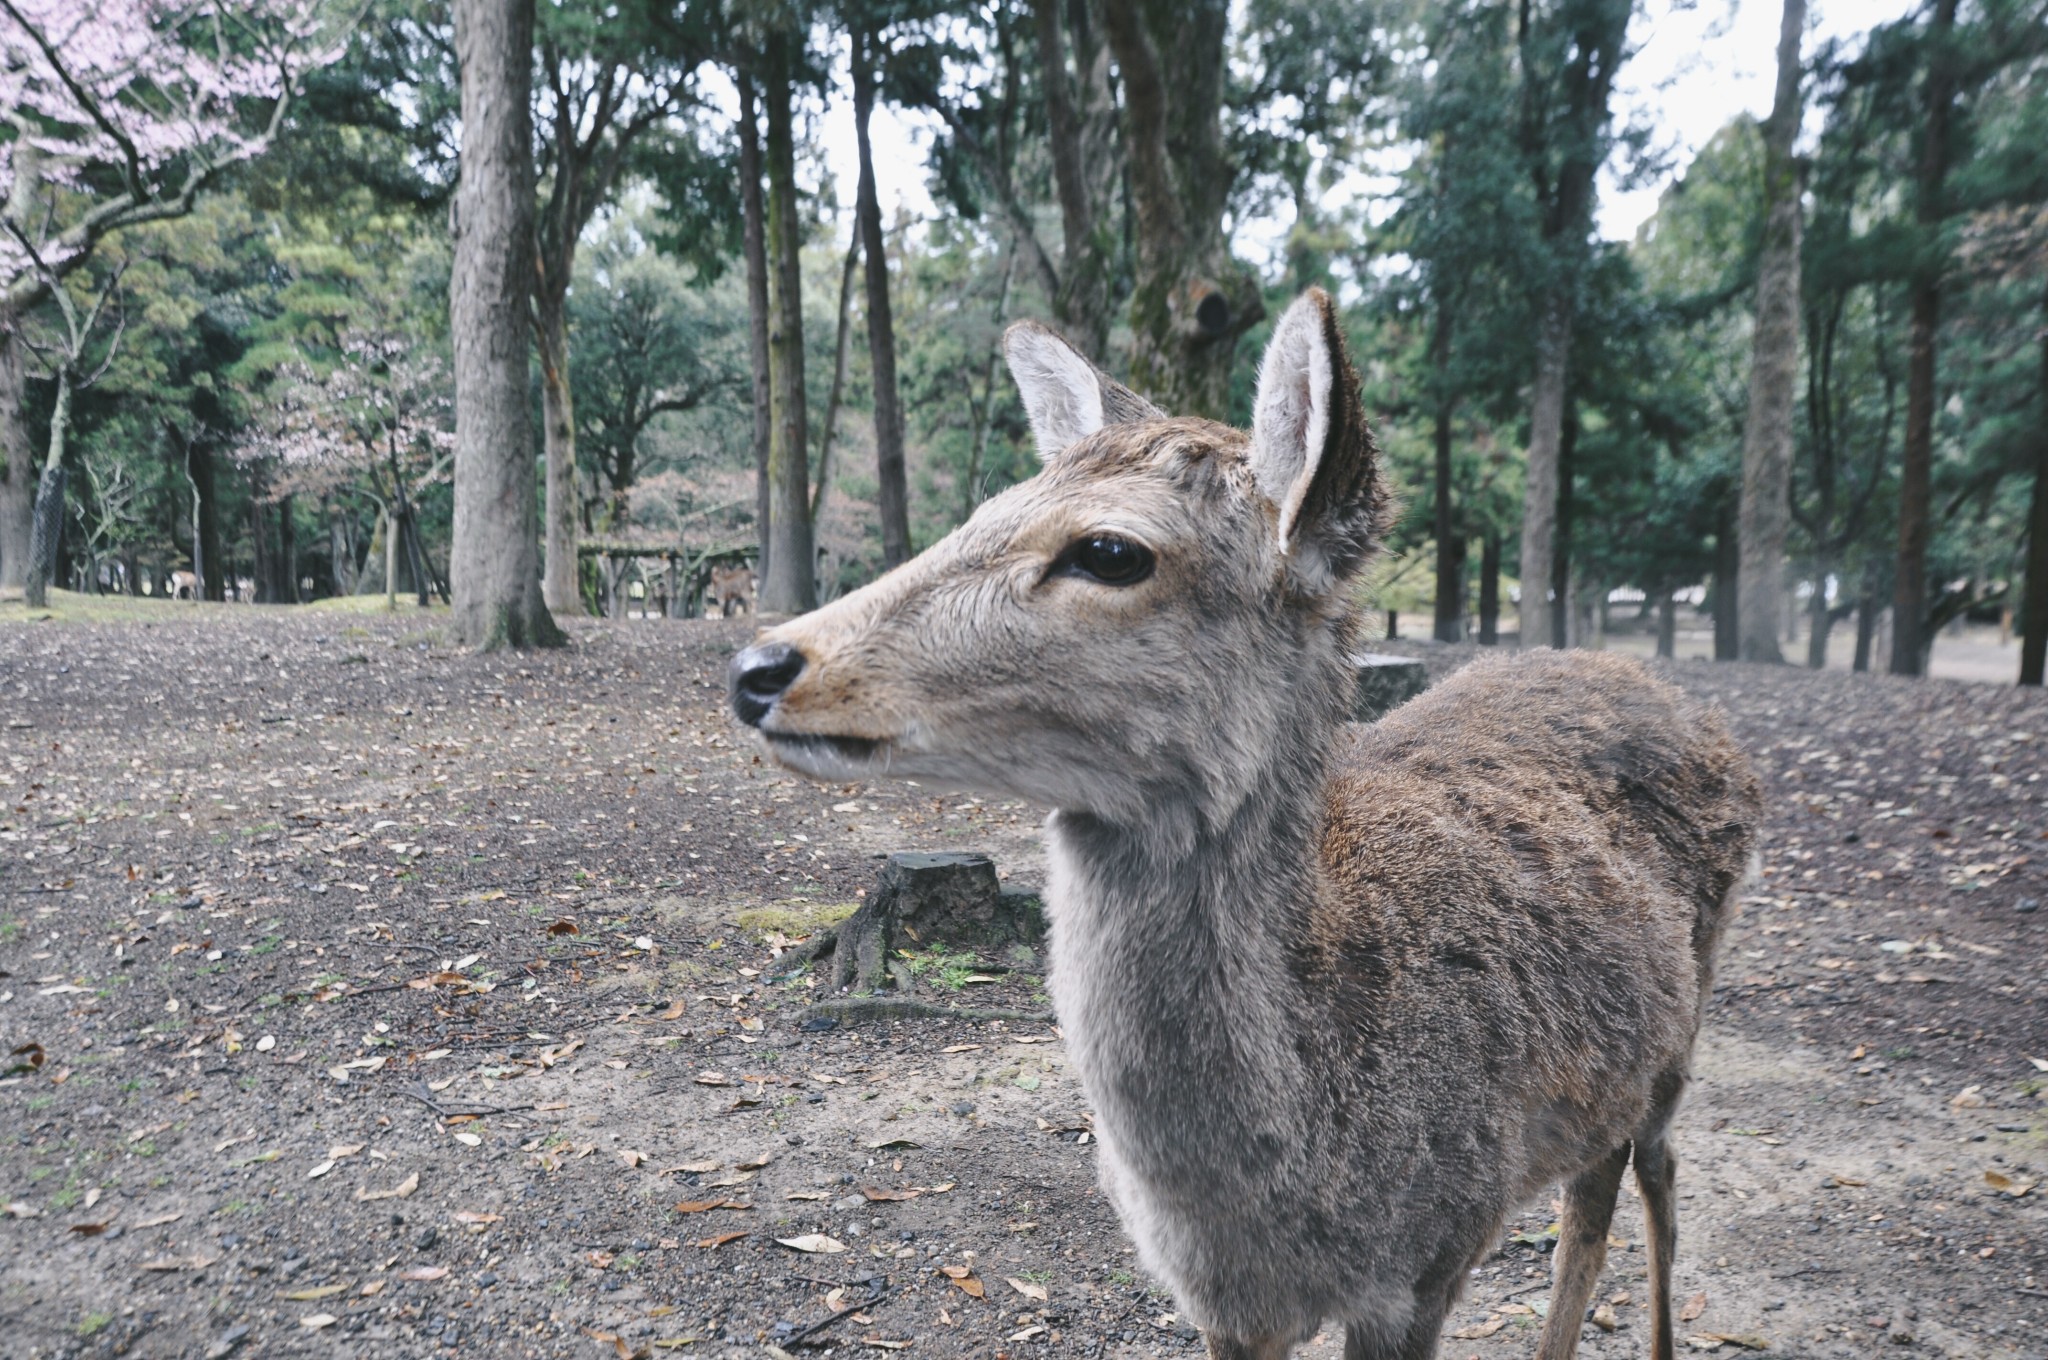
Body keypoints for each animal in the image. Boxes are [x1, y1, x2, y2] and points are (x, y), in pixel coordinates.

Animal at [733, 288, 1761, 1360]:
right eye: (980, 511)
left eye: (1110, 550)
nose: (759, 668)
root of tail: (1683, 703)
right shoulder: (1224, 1308)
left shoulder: (1435, 1257)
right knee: (1594, 1186)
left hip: (1684, 1031)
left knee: (1654, 1171)